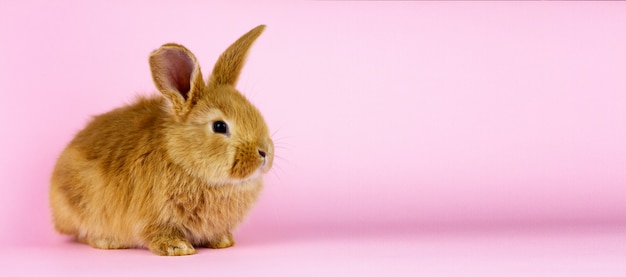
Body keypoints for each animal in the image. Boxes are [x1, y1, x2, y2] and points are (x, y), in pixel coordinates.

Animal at [48, 24, 272, 256]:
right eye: (219, 126)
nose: (264, 153)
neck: (183, 159)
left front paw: (222, 241)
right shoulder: (154, 218)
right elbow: (159, 233)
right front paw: (178, 248)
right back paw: (108, 241)